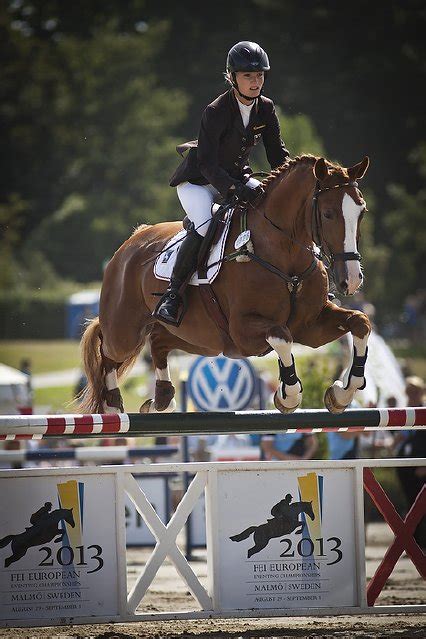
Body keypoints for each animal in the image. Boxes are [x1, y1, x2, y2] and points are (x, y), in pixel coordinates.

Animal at [79, 154, 370, 416]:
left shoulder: (309, 327)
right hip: (126, 332)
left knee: (159, 341)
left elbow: (360, 322)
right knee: (107, 348)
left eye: (362, 212)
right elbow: (282, 336)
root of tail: (132, 241)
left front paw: (342, 394)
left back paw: (161, 399)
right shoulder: (243, 330)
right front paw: (288, 395)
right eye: (328, 214)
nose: (351, 279)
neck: (285, 255)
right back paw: (113, 404)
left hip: (201, 338)